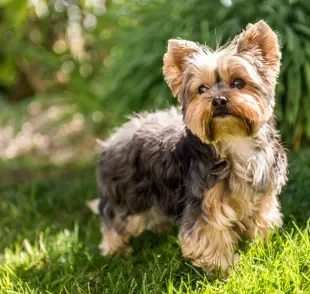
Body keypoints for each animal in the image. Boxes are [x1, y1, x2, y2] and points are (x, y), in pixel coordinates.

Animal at [90, 20, 288, 274]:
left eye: (238, 82)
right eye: (202, 89)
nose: (219, 100)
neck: (234, 141)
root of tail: (112, 139)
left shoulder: (262, 193)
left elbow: (261, 219)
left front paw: (260, 246)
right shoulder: (204, 201)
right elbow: (210, 235)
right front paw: (223, 269)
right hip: (127, 194)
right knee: (114, 217)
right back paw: (115, 250)